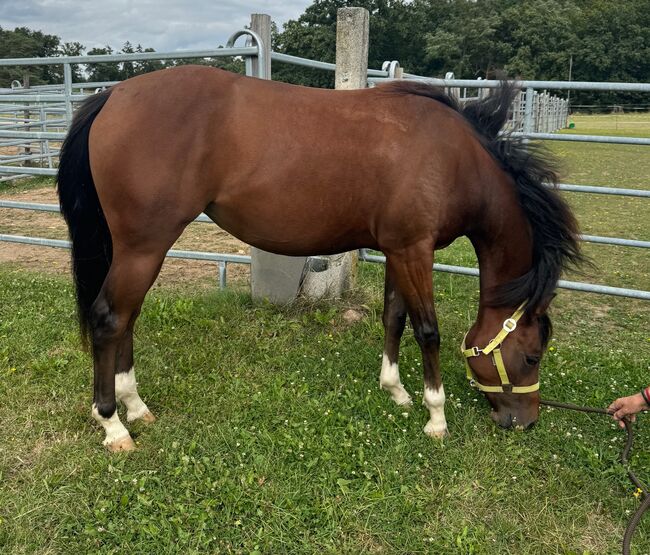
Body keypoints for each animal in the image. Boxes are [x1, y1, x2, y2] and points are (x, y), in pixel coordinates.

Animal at [57, 67, 584, 454]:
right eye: (532, 356)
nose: (524, 421)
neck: (453, 158)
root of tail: (114, 95)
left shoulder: (397, 249)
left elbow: (393, 316)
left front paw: (395, 391)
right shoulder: (414, 249)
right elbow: (427, 329)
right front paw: (436, 417)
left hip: (138, 251)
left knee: (126, 319)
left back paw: (135, 406)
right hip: (144, 247)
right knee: (109, 319)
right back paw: (114, 425)